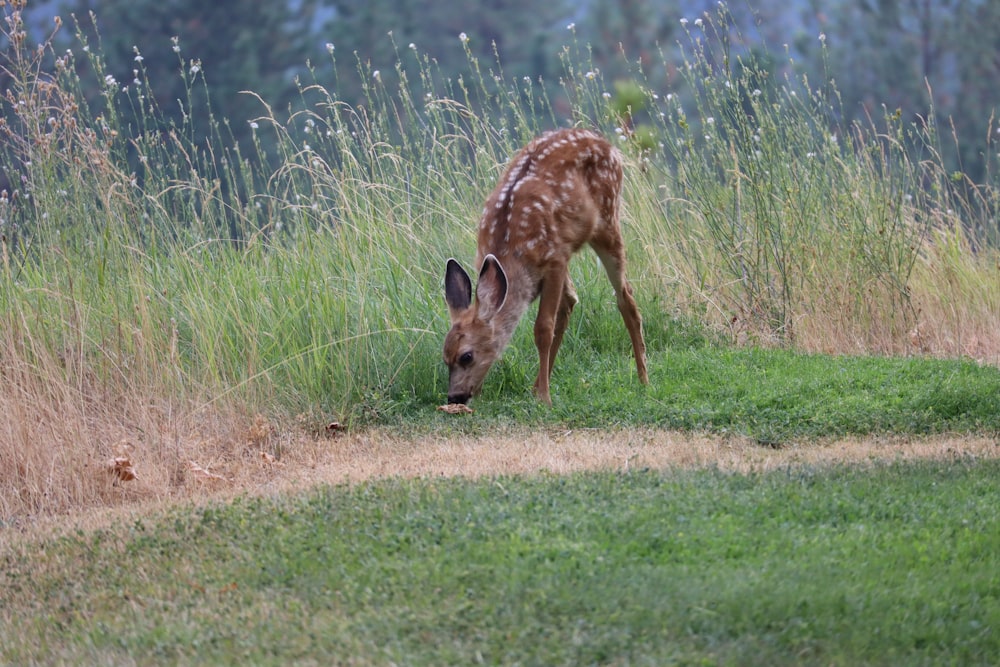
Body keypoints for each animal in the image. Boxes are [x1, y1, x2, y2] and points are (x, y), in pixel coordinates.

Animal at [444, 128, 648, 404]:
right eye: (445, 357)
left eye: (467, 356)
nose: (455, 397)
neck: (512, 256)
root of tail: (605, 142)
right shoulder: (558, 257)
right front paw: (537, 390)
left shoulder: (554, 260)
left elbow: (543, 328)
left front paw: (545, 398)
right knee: (572, 300)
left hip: (607, 221)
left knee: (625, 296)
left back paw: (643, 379)